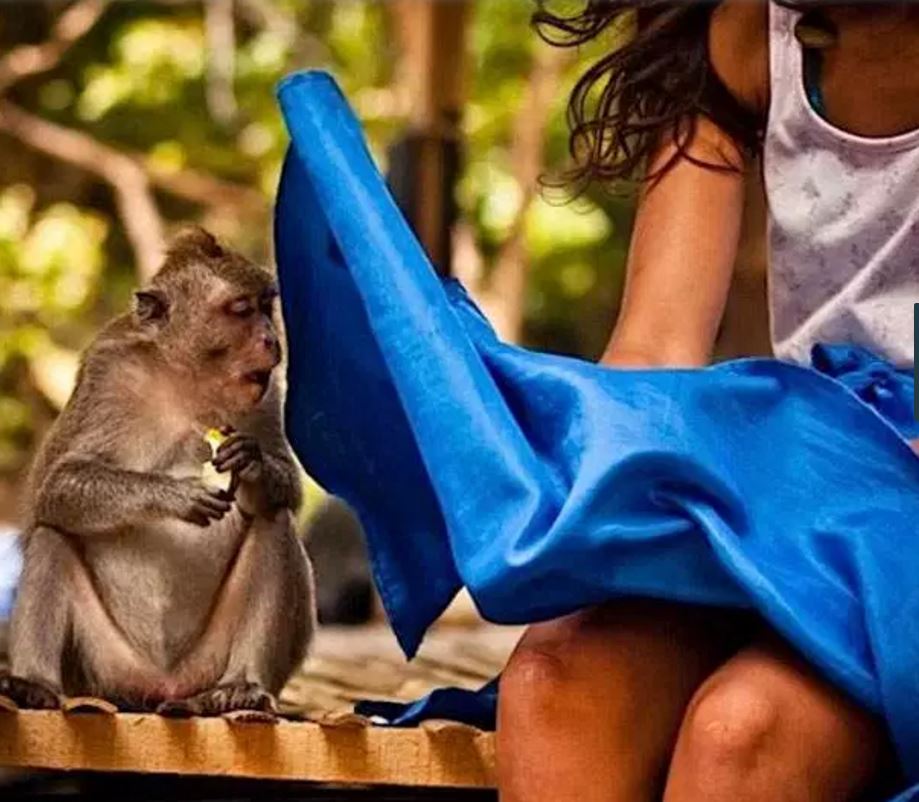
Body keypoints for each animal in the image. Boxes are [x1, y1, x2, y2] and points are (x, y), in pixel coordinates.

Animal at [0, 227, 314, 715]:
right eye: (241, 310)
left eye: (266, 306)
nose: (270, 340)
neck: (186, 381)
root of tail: (163, 686)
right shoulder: (108, 375)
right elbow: (56, 486)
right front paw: (171, 493)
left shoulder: (266, 393)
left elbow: (288, 492)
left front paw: (253, 463)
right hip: (104, 668)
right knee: (54, 535)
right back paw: (32, 684)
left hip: (205, 664)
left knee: (274, 522)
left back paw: (242, 685)